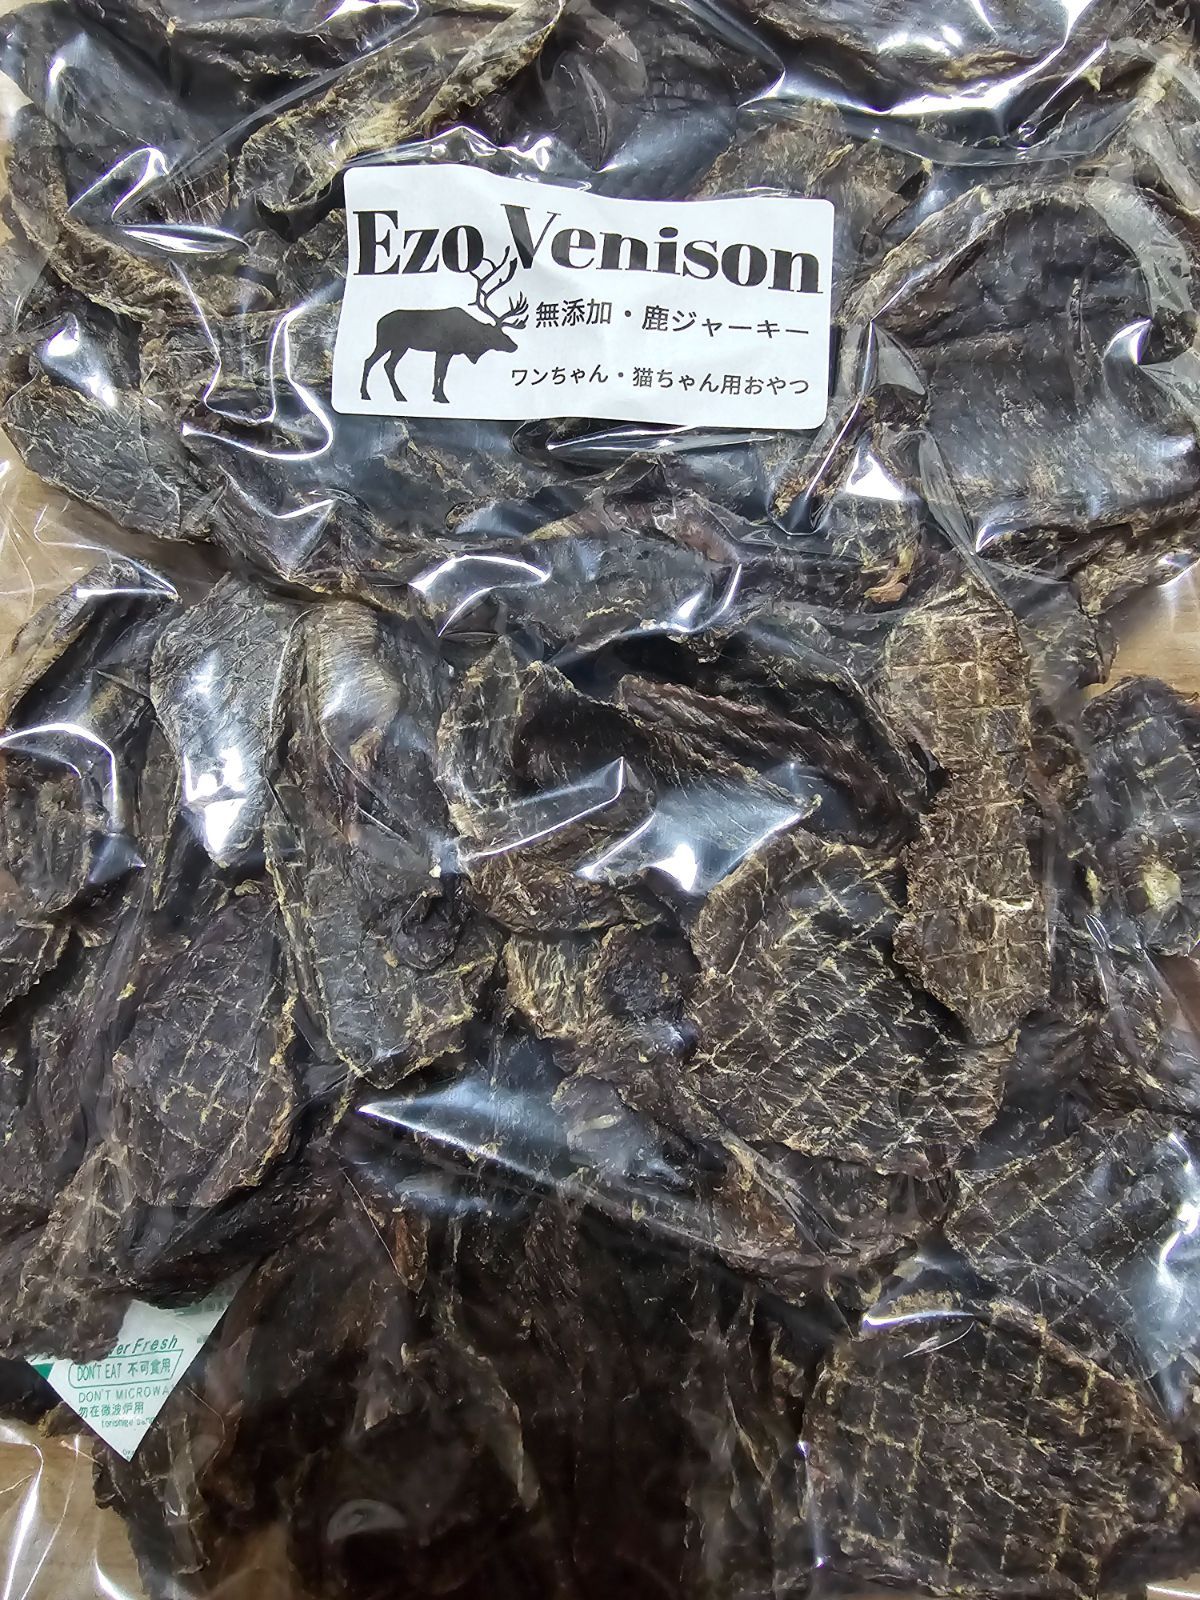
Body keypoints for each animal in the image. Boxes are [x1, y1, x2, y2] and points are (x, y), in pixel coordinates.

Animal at [359, 249, 530, 406]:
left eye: (505, 334)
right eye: (497, 335)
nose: (515, 346)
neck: (469, 340)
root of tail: (378, 322)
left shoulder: (440, 351)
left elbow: (437, 372)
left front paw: (435, 395)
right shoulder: (446, 350)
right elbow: (442, 372)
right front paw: (442, 397)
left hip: (400, 347)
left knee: (388, 365)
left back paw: (398, 396)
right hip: (386, 343)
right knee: (370, 361)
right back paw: (367, 394)